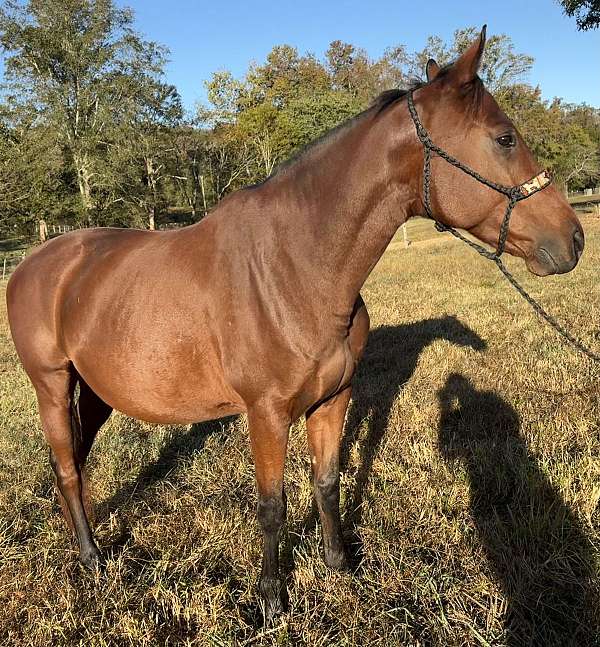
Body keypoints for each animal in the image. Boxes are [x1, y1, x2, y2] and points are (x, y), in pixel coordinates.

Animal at [6, 28, 584, 620]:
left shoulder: (332, 400)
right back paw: (91, 556)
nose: (573, 239)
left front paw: (338, 563)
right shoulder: (266, 414)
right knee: (66, 466)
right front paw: (271, 598)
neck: (296, 267)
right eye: (505, 138)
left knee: (75, 461)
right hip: (52, 385)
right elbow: (272, 505)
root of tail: (34, 262)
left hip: (98, 390)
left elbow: (326, 482)